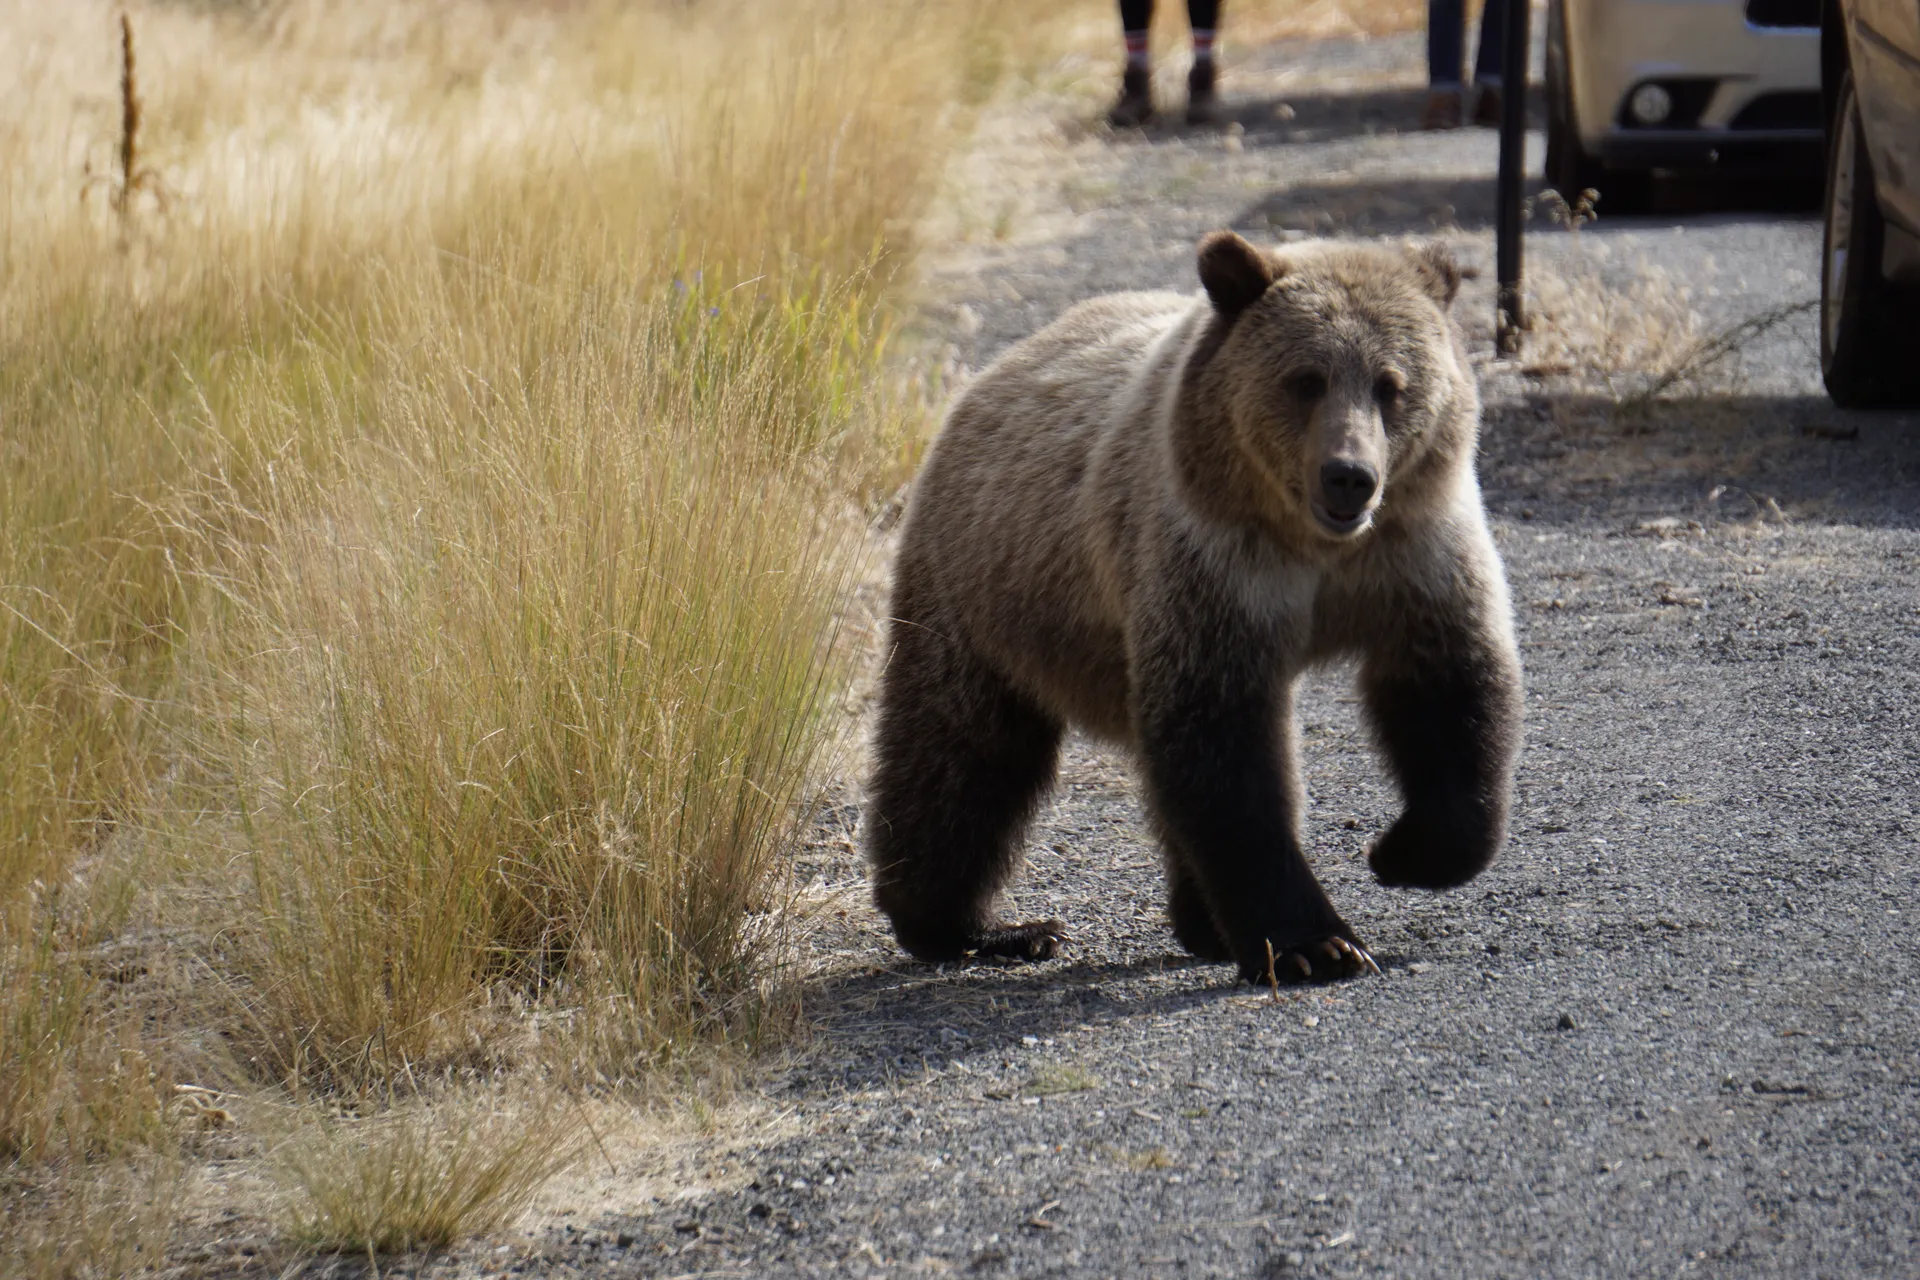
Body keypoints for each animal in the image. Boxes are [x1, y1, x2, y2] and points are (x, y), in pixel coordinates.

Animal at [864, 231, 1523, 984]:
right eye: (1306, 378)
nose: (1349, 476)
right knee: (963, 755)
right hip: (984, 590)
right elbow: (1223, 747)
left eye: (1392, 384)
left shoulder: (1413, 555)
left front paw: (1404, 851)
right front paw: (1317, 944)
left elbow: (1452, 691)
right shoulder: (1214, 566)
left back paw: (1196, 924)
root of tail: (996, 370)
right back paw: (978, 926)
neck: (1314, 547)